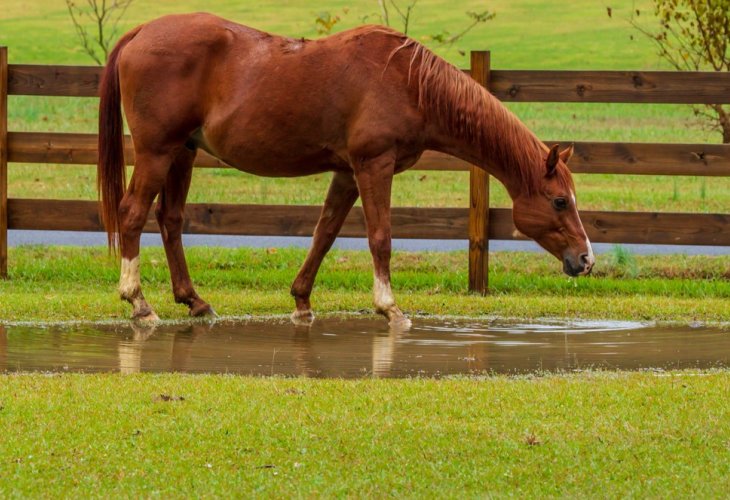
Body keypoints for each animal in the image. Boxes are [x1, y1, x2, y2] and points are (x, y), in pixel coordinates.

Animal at [96, 12, 596, 328]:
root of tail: (140, 32)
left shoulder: (346, 172)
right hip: (157, 152)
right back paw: (139, 303)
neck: (408, 82)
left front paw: (301, 301)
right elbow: (380, 238)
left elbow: (325, 233)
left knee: (171, 220)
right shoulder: (375, 165)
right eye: (559, 200)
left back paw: (195, 302)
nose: (586, 260)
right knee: (133, 213)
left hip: (181, 153)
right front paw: (390, 308)